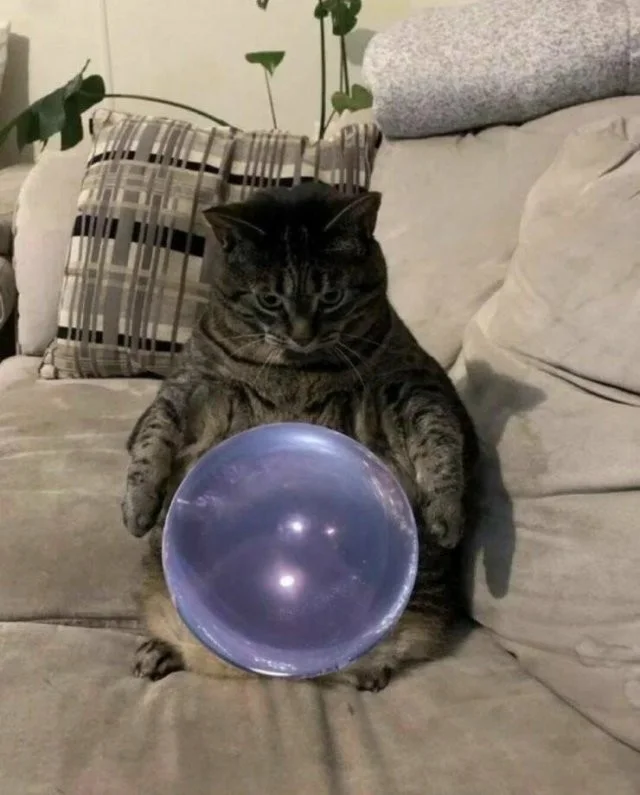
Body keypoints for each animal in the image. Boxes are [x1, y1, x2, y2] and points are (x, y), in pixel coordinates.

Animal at [122, 182, 478, 692]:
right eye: (270, 300)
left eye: (332, 296)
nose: (303, 335)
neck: (296, 370)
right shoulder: (191, 384)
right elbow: (153, 434)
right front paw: (138, 508)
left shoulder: (411, 384)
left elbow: (440, 433)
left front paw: (446, 515)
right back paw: (158, 650)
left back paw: (368, 668)